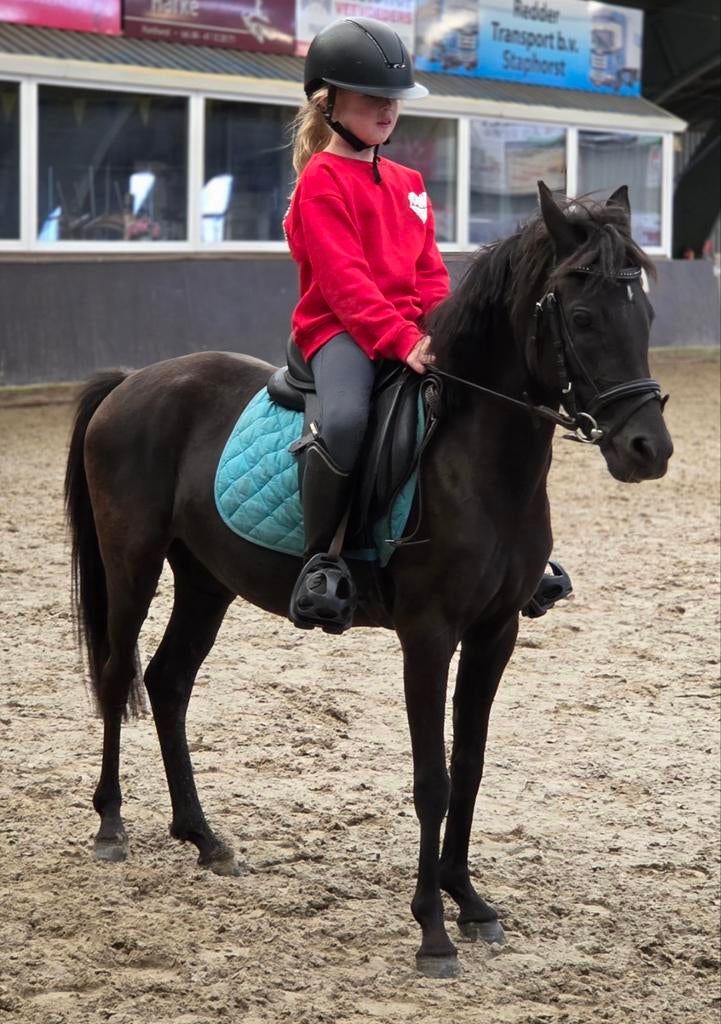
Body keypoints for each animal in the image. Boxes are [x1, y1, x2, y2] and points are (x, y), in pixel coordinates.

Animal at [64, 182, 673, 978]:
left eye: (645, 315)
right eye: (581, 317)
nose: (647, 449)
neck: (478, 458)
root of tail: (132, 381)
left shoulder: (495, 632)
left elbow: (469, 765)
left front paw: (469, 902)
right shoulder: (428, 635)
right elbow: (431, 780)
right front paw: (432, 931)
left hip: (206, 580)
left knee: (167, 682)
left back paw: (204, 838)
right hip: (131, 561)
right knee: (117, 673)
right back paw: (111, 825)